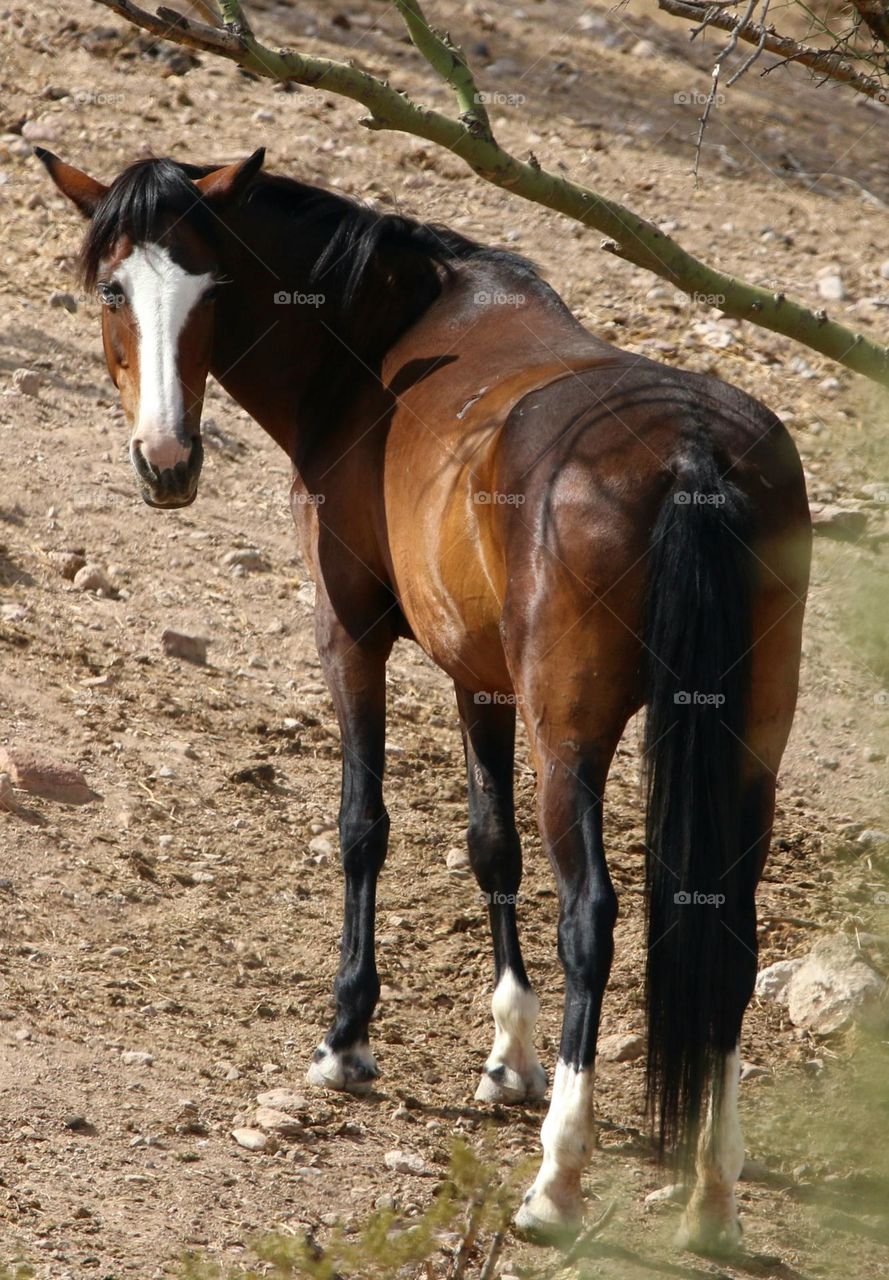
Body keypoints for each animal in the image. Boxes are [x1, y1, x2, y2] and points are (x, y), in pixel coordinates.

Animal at [37, 146, 811, 1253]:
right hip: (747, 746)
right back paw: (711, 1194)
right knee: (730, 934)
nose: (167, 463)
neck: (382, 345)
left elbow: (365, 825)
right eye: (114, 288)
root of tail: (693, 450)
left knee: (592, 917)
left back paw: (556, 1181)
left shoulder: (349, 635)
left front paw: (347, 1037)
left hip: (571, 739)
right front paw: (509, 1058)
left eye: (208, 290)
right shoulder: (475, 674)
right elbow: (491, 846)